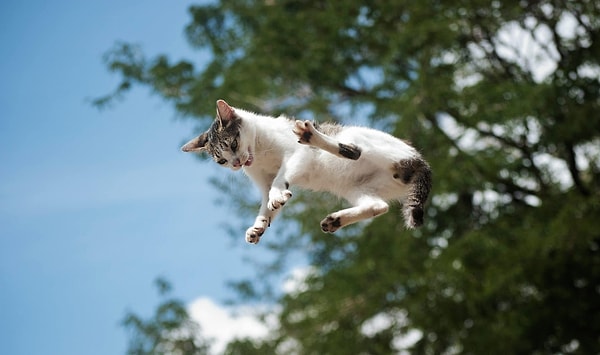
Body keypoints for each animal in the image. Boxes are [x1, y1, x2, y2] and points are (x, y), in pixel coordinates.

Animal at [183, 100, 432, 245]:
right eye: (222, 160)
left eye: (233, 144)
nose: (236, 164)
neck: (261, 153)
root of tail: (420, 161)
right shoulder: (262, 182)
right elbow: (266, 205)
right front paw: (259, 226)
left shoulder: (296, 155)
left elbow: (280, 178)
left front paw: (277, 195)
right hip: (355, 187)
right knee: (378, 206)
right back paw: (335, 220)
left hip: (356, 137)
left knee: (355, 151)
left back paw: (311, 135)